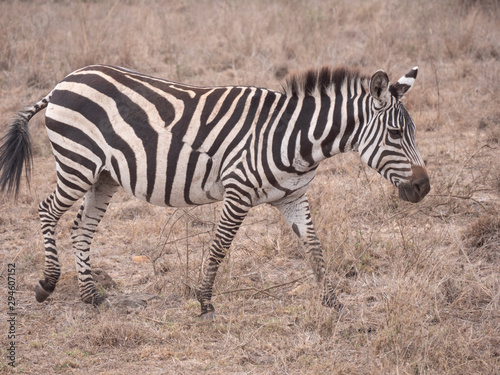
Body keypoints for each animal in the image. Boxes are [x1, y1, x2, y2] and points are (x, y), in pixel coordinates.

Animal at [0, 64, 430, 318]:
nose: (424, 187)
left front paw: (333, 302)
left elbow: (315, 248)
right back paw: (47, 283)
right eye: (396, 134)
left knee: (80, 229)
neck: (294, 139)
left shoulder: (293, 199)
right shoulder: (238, 191)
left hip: (103, 175)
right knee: (47, 211)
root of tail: (65, 80)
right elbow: (220, 246)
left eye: (411, 132)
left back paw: (91, 296)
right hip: (77, 163)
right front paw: (204, 300)